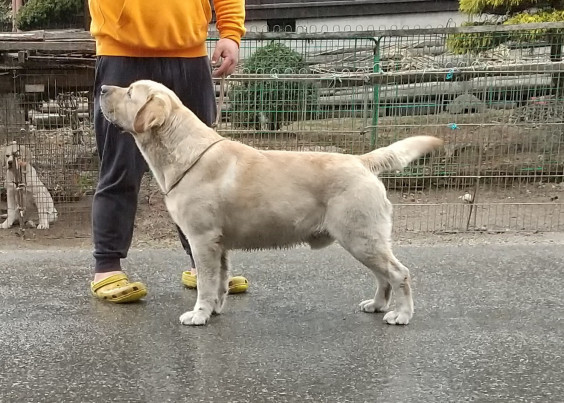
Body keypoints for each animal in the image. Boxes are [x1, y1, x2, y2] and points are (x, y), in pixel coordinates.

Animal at [100, 79, 446, 328]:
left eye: (129, 92)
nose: (102, 88)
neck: (186, 153)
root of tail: (362, 161)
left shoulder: (202, 240)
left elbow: (206, 283)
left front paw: (198, 314)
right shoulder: (219, 244)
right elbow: (221, 282)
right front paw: (214, 310)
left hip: (361, 238)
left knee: (399, 273)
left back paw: (401, 315)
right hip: (365, 240)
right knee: (383, 276)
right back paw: (376, 305)